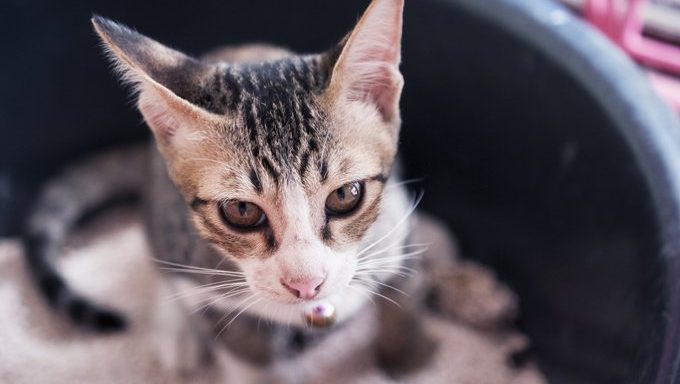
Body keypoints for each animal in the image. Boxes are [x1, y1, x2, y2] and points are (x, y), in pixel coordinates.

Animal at [23, 0, 438, 376]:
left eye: (345, 195)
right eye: (242, 211)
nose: (306, 285)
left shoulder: (400, 225)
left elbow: (403, 303)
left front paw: (406, 360)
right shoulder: (211, 293)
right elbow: (243, 348)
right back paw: (177, 330)